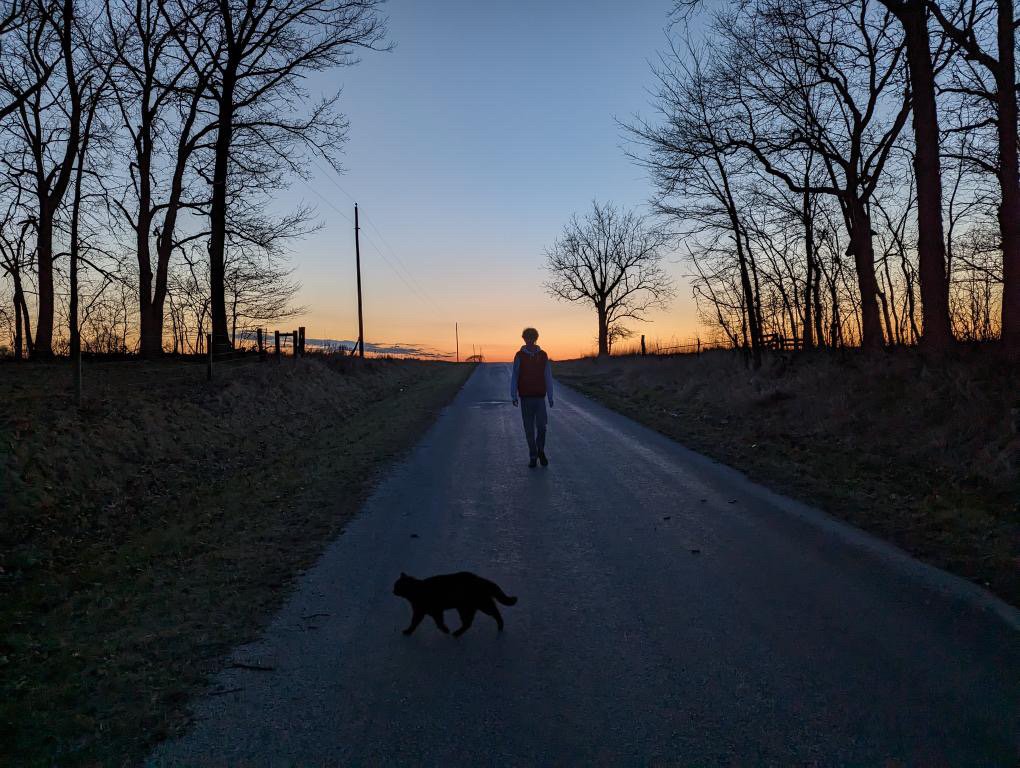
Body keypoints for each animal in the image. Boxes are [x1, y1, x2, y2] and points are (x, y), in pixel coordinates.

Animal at [389, 571, 518, 636]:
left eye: (396, 586)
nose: (392, 591)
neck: (417, 591)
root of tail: (481, 579)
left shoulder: (427, 610)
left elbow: (418, 622)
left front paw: (408, 631)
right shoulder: (431, 611)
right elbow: (436, 621)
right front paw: (445, 629)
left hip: (480, 604)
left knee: (495, 613)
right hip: (467, 608)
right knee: (468, 623)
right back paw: (458, 632)